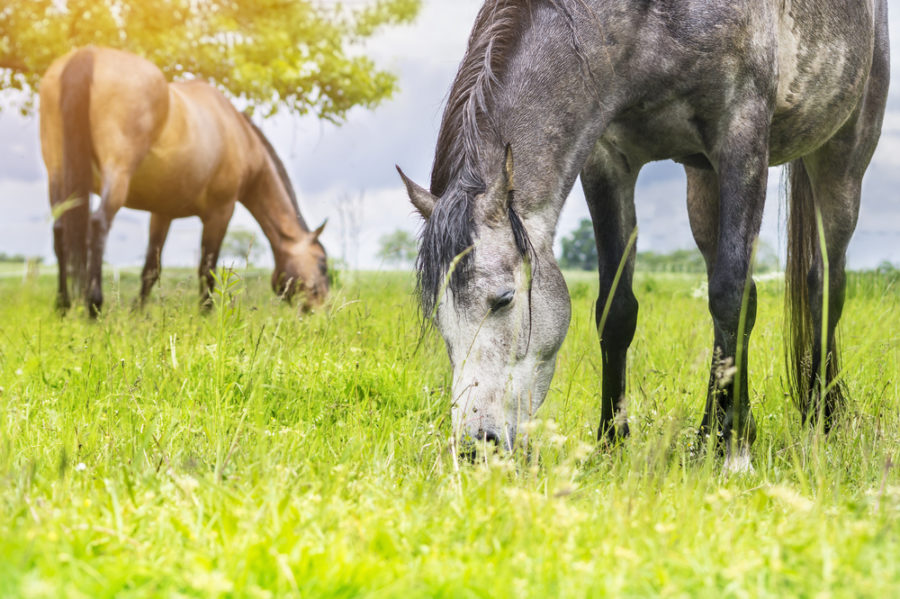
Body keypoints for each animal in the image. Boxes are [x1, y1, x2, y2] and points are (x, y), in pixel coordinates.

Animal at [39, 46, 329, 316]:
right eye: (322, 263)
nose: (320, 310)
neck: (241, 137)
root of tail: (87, 55)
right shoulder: (221, 212)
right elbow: (207, 268)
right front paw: (206, 312)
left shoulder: (162, 213)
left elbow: (151, 268)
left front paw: (137, 312)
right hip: (117, 171)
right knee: (98, 223)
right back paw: (93, 305)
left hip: (57, 173)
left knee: (60, 229)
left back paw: (63, 304)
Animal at [399, 0, 889, 470]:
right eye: (440, 317)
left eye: (503, 299)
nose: (474, 448)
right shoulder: (608, 159)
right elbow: (617, 310)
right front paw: (612, 443)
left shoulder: (742, 138)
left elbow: (731, 299)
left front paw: (735, 454)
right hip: (703, 181)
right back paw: (706, 437)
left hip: (842, 159)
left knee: (823, 286)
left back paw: (821, 420)